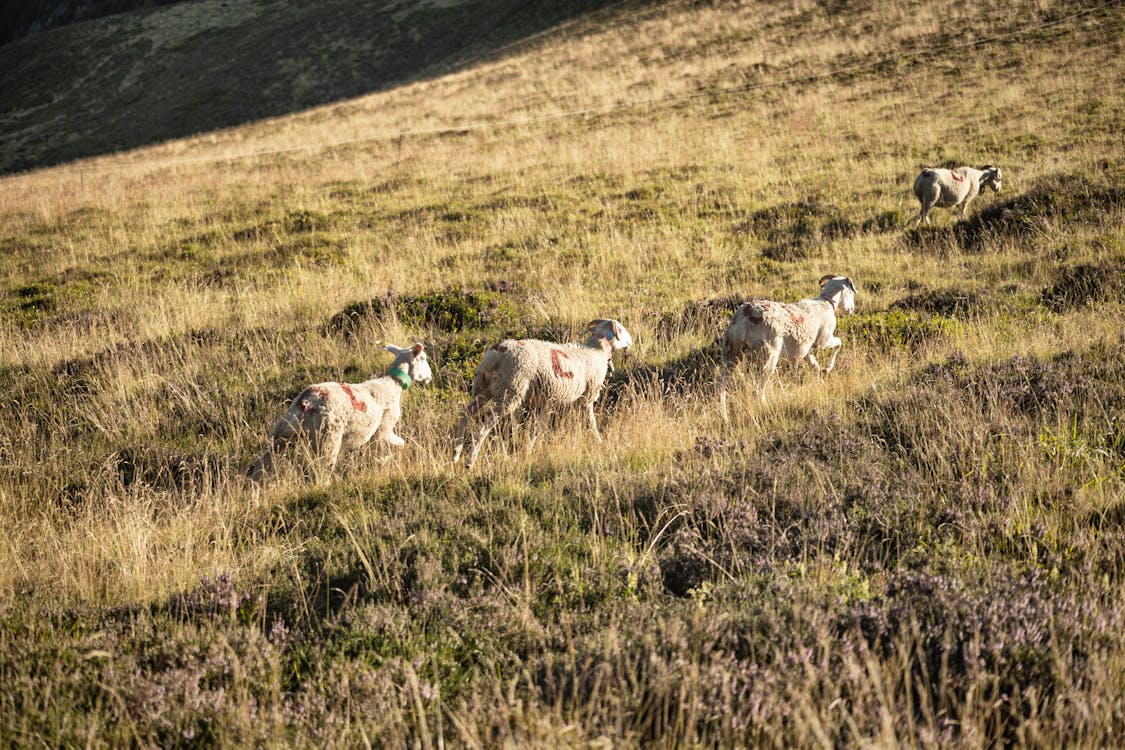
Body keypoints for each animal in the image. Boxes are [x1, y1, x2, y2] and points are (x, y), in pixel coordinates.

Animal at [248, 341, 432, 481]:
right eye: (423, 358)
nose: (429, 377)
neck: (392, 384)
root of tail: (306, 402)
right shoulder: (384, 429)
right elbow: (398, 444)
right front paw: (388, 459)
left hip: (282, 432)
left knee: (262, 463)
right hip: (328, 437)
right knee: (322, 471)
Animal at [452, 319, 639, 472]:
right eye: (620, 329)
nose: (631, 341)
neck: (595, 350)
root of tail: (497, 352)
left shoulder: (547, 401)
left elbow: (538, 427)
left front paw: (528, 450)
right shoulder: (587, 397)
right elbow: (591, 422)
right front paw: (599, 441)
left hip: (483, 388)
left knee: (465, 414)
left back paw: (455, 453)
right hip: (511, 390)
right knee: (484, 426)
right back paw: (469, 462)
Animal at [715, 275, 855, 420]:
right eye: (850, 292)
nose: (852, 310)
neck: (826, 303)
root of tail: (745, 317)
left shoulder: (807, 350)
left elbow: (814, 366)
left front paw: (822, 376)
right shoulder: (823, 341)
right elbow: (839, 343)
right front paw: (827, 368)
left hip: (732, 351)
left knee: (722, 381)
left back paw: (724, 415)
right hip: (768, 354)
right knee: (757, 389)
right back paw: (766, 409)